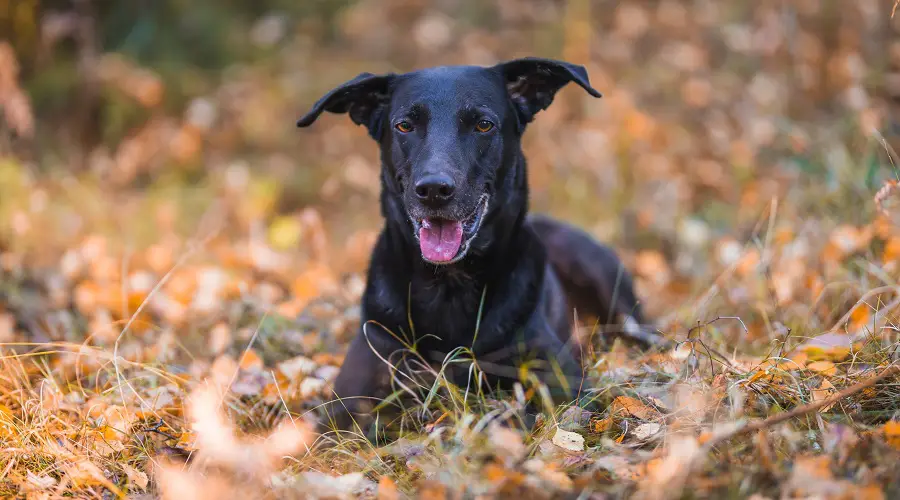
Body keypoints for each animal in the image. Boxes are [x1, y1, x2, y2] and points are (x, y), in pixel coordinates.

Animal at [298, 57, 656, 434]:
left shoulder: (569, 386)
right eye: (404, 126)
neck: (449, 286)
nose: (434, 190)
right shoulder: (345, 409)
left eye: (483, 125)